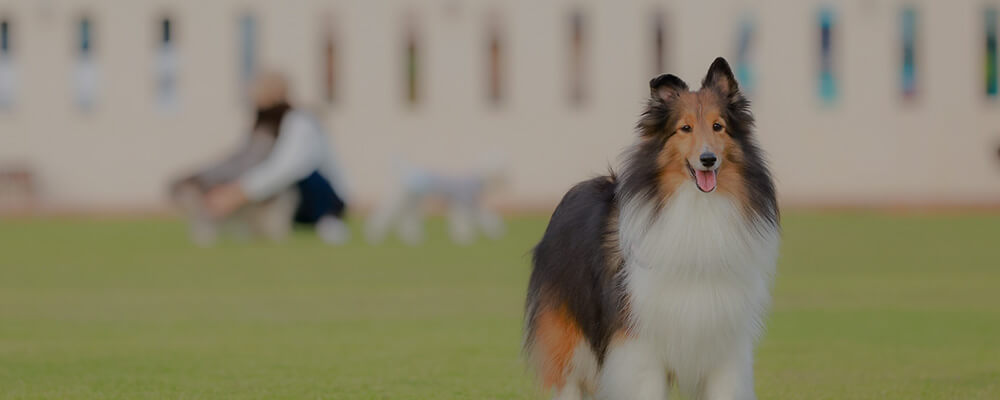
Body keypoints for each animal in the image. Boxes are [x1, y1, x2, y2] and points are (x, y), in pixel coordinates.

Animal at [520, 57, 784, 398]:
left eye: (718, 126)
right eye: (684, 128)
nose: (708, 159)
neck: (697, 208)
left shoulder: (723, 344)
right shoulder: (641, 345)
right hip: (567, 339)